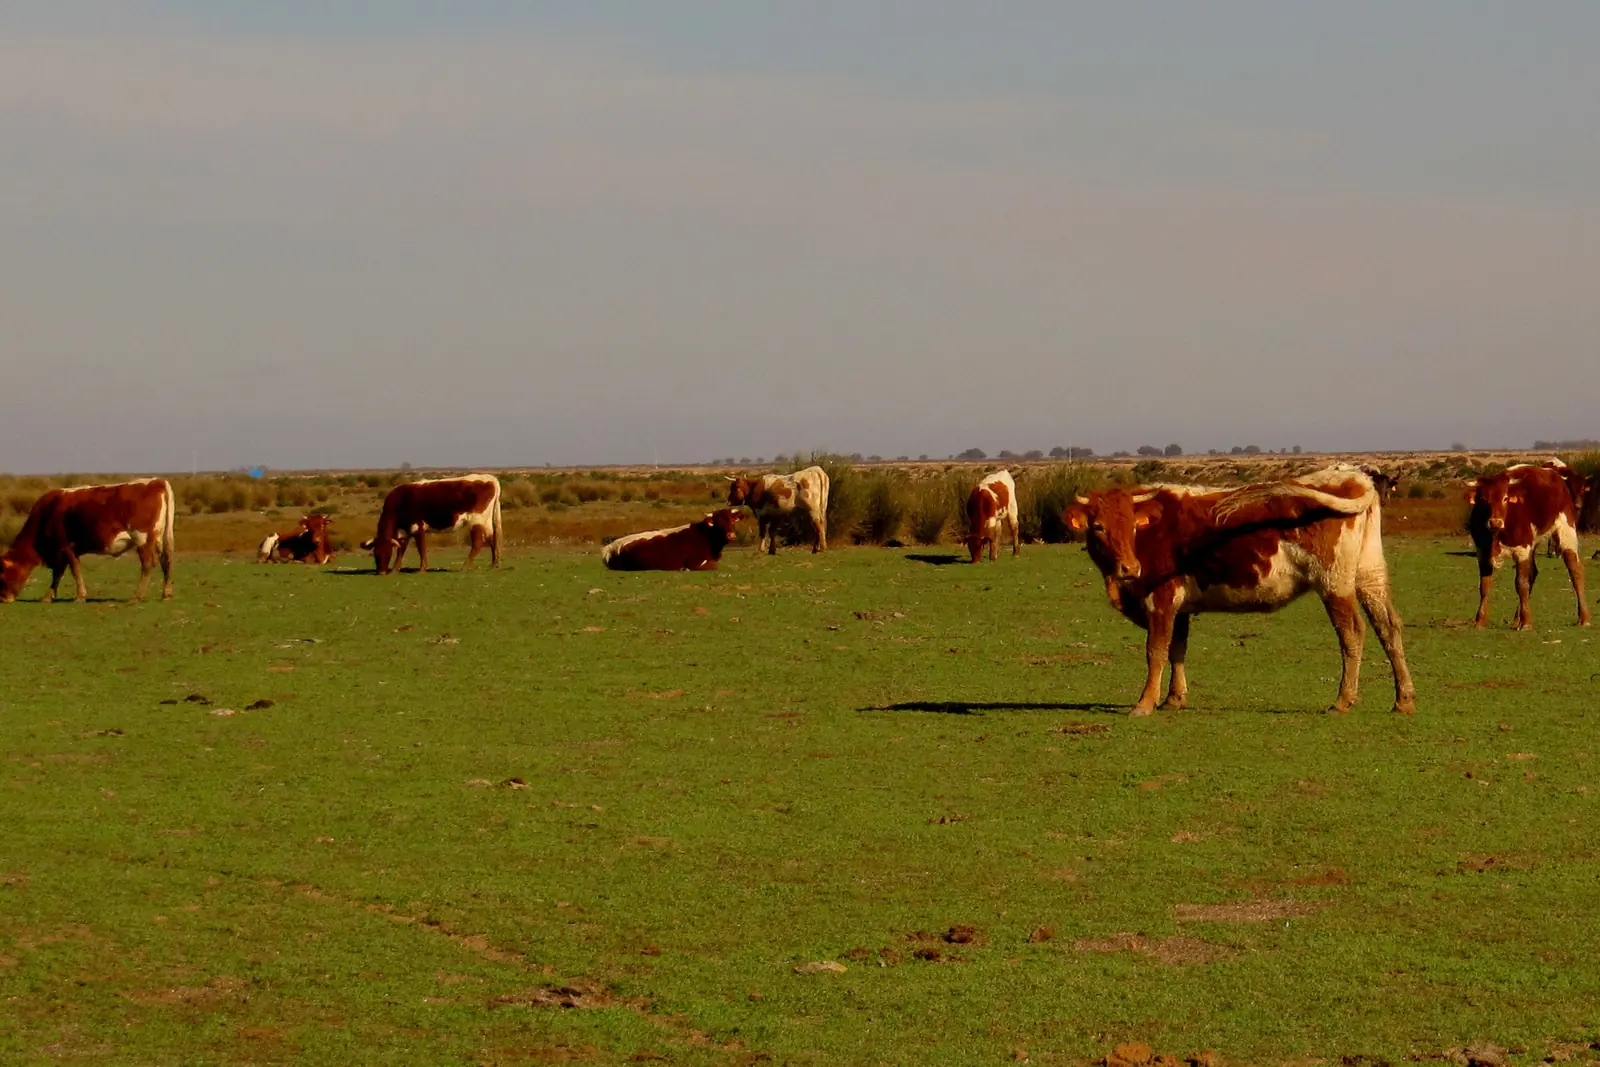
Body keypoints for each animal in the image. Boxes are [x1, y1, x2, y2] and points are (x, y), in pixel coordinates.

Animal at [0, 478, 175, 603]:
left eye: (2, 574)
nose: (3, 599)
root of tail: (156, 481)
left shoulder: (64, 547)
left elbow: (71, 570)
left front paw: (79, 596)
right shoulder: (66, 551)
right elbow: (59, 573)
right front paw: (48, 596)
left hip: (142, 538)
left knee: (148, 564)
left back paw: (137, 596)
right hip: (158, 539)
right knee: (165, 561)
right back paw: (166, 594)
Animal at [359, 474, 502, 575]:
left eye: (388, 553)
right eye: (376, 554)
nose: (381, 572)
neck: (400, 502)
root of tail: (490, 478)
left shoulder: (417, 527)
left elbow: (421, 548)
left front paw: (422, 569)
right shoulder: (404, 531)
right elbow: (401, 550)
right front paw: (395, 569)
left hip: (477, 520)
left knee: (478, 543)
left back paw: (465, 567)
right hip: (486, 521)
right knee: (492, 538)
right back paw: (494, 564)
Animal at [601, 508, 744, 571]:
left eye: (732, 521)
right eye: (718, 523)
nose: (731, 535)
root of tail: (611, 546)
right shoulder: (696, 563)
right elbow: (713, 565)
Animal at [1064, 467, 1415, 716]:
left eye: (1132, 526)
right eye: (1099, 527)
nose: (1129, 568)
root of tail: (1354, 476)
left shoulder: (1161, 600)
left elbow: (1156, 651)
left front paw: (1145, 703)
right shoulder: (1180, 608)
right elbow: (1178, 649)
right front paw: (1174, 699)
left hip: (1333, 583)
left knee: (1352, 633)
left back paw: (1343, 699)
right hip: (1369, 576)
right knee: (1388, 626)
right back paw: (1404, 699)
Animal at [1466, 460, 1589, 630]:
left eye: (1505, 498)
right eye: (1483, 499)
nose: (1495, 522)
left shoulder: (1522, 550)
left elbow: (1521, 584)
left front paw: (1526, 623)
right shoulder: (1482, 551)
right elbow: (1484, 586)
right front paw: (1480, 620)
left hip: (1566, 531)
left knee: (1575, 570)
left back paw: (1584, 617)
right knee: (1533, 572)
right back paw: (1516, 619)